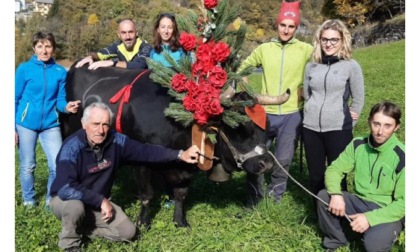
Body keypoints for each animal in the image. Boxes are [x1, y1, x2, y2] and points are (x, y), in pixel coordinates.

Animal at [60, 65, 276, 228]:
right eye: (237, 127)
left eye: (266, 127)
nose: (266, 164)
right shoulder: (141, 160)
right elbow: (147, 195)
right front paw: (143, 223)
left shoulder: (185, 166)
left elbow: (181, 194)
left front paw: (180, 221)